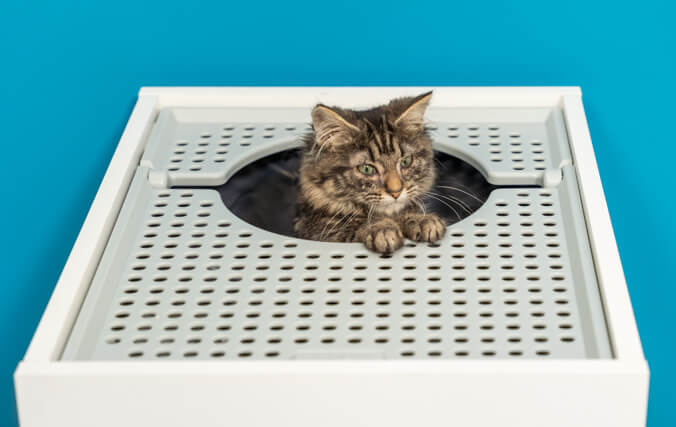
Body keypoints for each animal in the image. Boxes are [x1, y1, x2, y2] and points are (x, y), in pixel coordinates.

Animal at [294, 93, 444, 254]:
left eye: (406, 162)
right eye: (367, 169)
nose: (396, 192)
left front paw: (421, 219)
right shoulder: (315, 228)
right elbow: (351, 225)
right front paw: (381, 228)